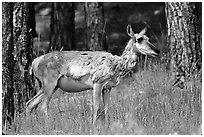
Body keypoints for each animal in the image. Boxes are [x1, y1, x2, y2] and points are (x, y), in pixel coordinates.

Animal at [25, 24, 159, 126]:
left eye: (148, 38)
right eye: (139, 39)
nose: (157, 50)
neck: (116, 65)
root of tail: (34, 62)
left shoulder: (108, 87)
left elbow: (106, 108)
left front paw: (107, 125)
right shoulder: (97, 82)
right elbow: (96, 106)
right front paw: (94, 126)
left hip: (49, 86)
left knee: (30, 103)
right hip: (49, 83)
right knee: (43, 106)